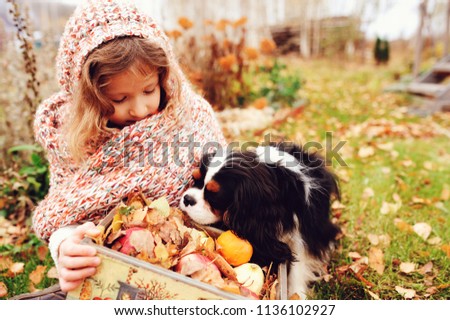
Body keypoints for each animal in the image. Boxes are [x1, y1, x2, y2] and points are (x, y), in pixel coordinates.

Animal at [181, 142, 340, 298]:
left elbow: (299, 267)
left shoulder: (302, 234)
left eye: (215, 196)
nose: (187, 199)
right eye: (194, 179)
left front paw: (297, 294)